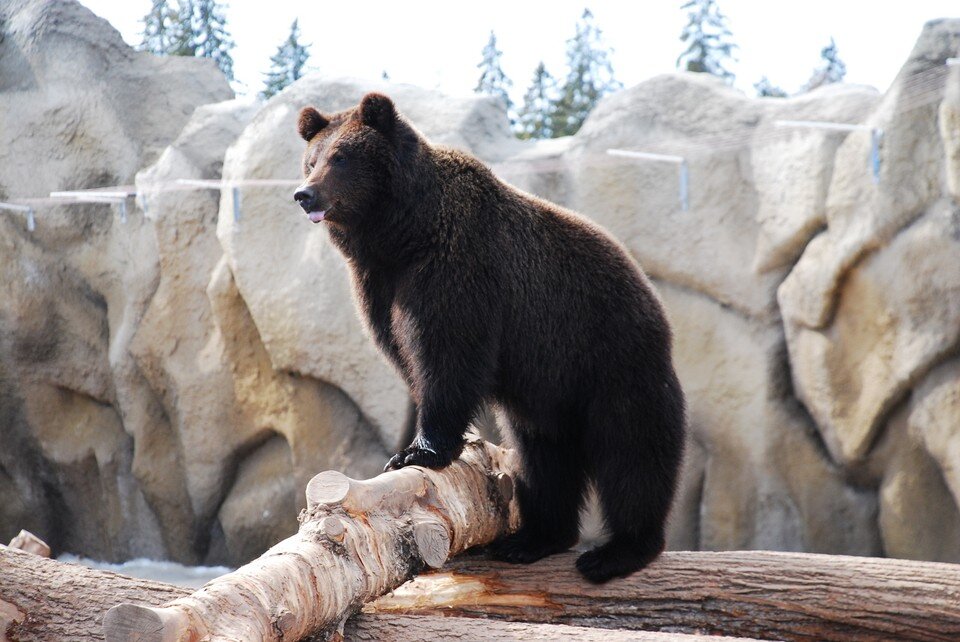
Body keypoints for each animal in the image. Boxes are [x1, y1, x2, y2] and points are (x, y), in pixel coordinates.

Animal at [292, 92, 684, 584]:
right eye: (312, 159)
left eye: (341, 157)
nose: (305, 193)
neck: (402, 234)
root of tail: (650, 293)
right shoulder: (378, 285)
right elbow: (408, 356)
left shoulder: (459, 268)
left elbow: (448, 354)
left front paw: (416, 451)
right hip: (549, 394)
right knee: (544, 459)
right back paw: (533, 538)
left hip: (610, 355)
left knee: (633, 451)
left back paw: (617, 551)